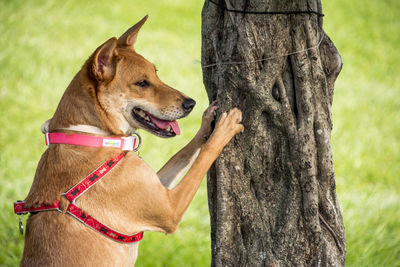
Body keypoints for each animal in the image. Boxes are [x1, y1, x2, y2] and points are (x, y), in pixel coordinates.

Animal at [20, 15, 244, 266]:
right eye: (142, 83)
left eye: (156, 73)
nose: (191, 104)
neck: (93, 136)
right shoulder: (170, 209)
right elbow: (204, 157)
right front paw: (224, 129)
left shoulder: (157, 185)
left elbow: (184, 153)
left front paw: (207, 123)